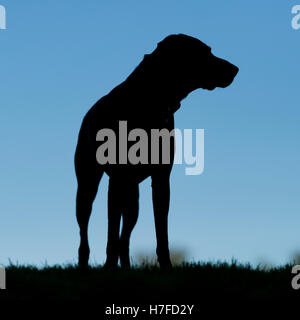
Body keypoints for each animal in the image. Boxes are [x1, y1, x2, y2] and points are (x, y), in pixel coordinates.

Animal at [75, 33, 239, 268]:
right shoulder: (115, 181)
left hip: (132, 198)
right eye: (205, 52)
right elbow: (111, 232)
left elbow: (161, 232)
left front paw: (166, 267)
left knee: (125, 236)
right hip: (88, 186)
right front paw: (109, 268)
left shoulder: (162, 179)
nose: (236, 69)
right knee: (86, 232)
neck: (150, 99)